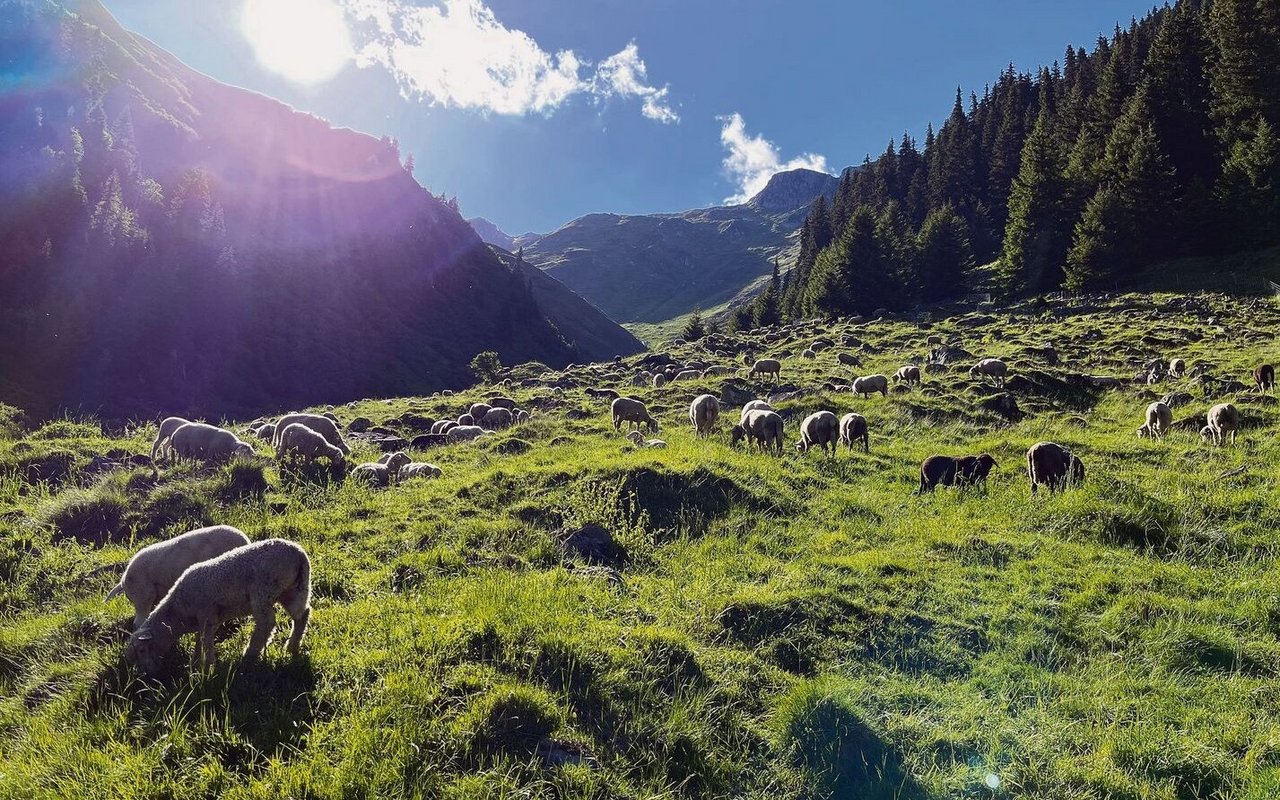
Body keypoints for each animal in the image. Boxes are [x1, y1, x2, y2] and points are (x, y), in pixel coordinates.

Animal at [125, 537, 312, 675]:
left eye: (141, 650)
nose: (145, 673)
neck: (177, 612)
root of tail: (299, 554)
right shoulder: (206, 621)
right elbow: (200, 640)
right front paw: (195, 664)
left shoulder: (206, 615)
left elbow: (206, 642)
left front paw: (207, 667)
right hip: (295, 590)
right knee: (302, 615)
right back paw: (292, 646)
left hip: (263, 591)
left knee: (267, 623)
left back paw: (250, 654)